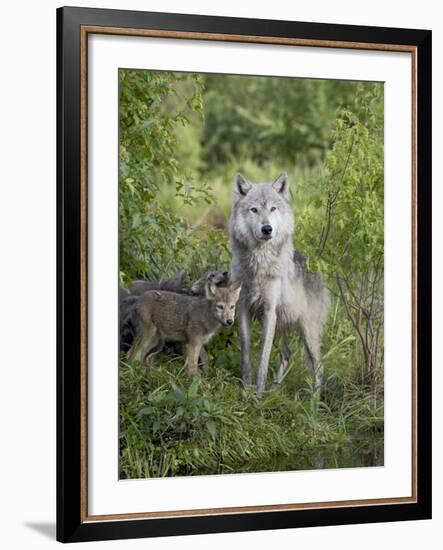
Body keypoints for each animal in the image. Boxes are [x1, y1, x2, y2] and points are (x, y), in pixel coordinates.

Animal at [229, 172, 330, 392]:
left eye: (273, 208)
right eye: (254, 209)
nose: (267, 229)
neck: (259, 264)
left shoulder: (269, 312)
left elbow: (263, 359)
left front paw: (258, 393)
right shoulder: (243, 309)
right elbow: (246, 354)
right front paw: (246, 389)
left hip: (307, 332)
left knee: (319, 367)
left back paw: (314, 400)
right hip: (281, 326)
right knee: (287, 354)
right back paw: (274, 389)